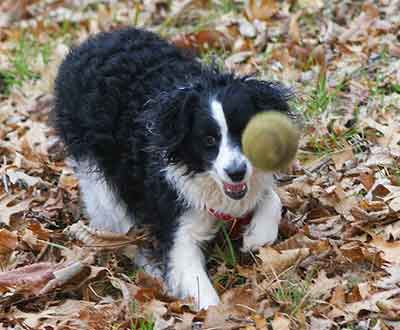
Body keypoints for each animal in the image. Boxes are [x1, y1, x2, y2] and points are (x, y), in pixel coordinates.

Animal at [52, 27, 290, 310]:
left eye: (246, 133)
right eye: (208, 140)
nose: (236, 172)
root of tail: (90, 43)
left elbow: (271, 198)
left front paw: (257, 236)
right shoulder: (177, 220)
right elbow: (193, 279)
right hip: (97, 174)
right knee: (116, 222)